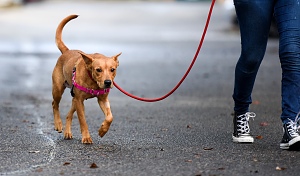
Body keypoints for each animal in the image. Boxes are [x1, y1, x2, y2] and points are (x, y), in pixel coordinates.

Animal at [52, 14, 121, 144]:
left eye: (112, 69)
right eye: (98, 70)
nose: (108, 82)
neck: (93, 81)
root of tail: (66, 51)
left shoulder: (102, 99)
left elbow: (110, 117)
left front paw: (102, 130)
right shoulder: (80, 101)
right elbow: (83, 120)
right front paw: (86, 137)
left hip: (74, 98)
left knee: (68, 114)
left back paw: (67, 132)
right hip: (58, 90)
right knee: (55, 104)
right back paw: (58, 124)